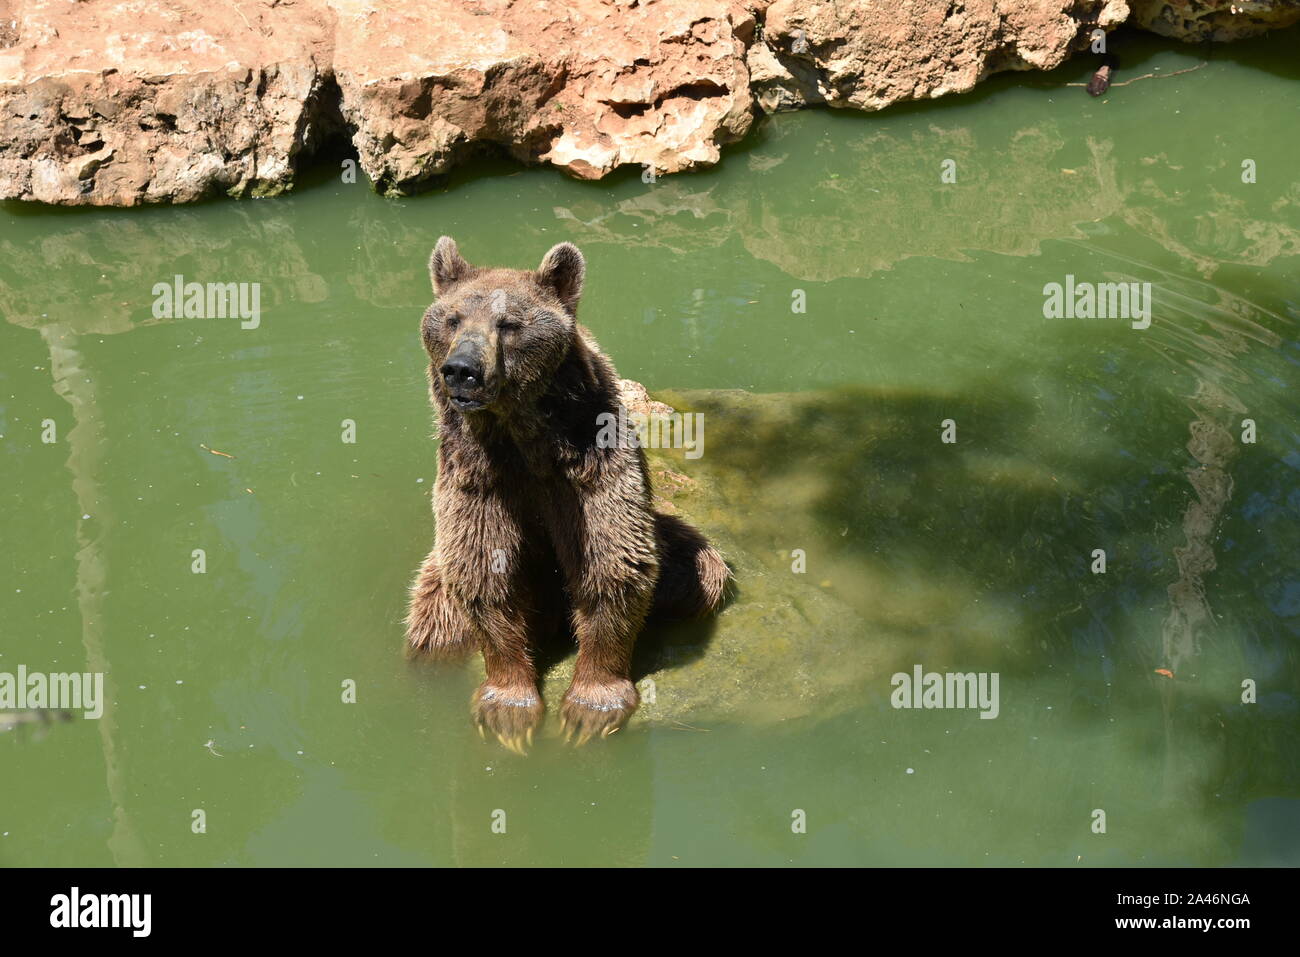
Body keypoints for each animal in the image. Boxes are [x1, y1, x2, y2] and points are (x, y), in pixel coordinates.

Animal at [405, 235, 733, 748]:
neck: (520, 434)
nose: (461, 370)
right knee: (433, 623)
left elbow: (611, 560)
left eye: (508, 324)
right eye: (453, 318)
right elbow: (483, 570)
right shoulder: (476, 474)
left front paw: (590, 706)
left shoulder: (589, 461)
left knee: (700, 569)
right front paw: (509, 707)